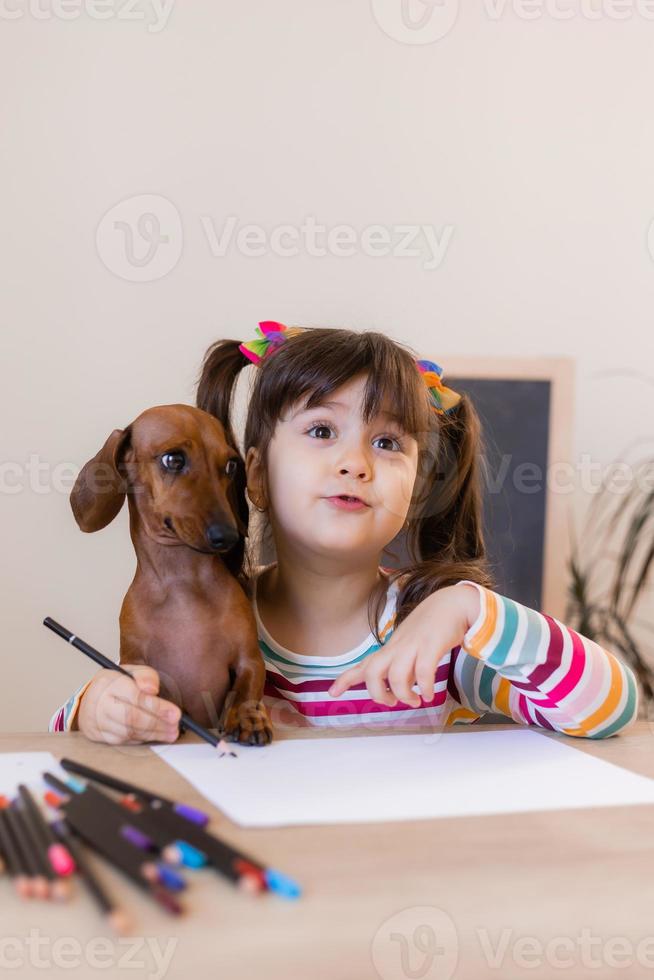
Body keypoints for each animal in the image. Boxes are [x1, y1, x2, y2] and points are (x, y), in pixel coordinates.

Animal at [71, 402, 274, 748]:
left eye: (231, 465)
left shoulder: (248, 657)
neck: (184, 584)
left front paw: (248, 717)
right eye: (173, 459)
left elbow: (247, 687)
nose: (228, 536)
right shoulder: (136, 662)